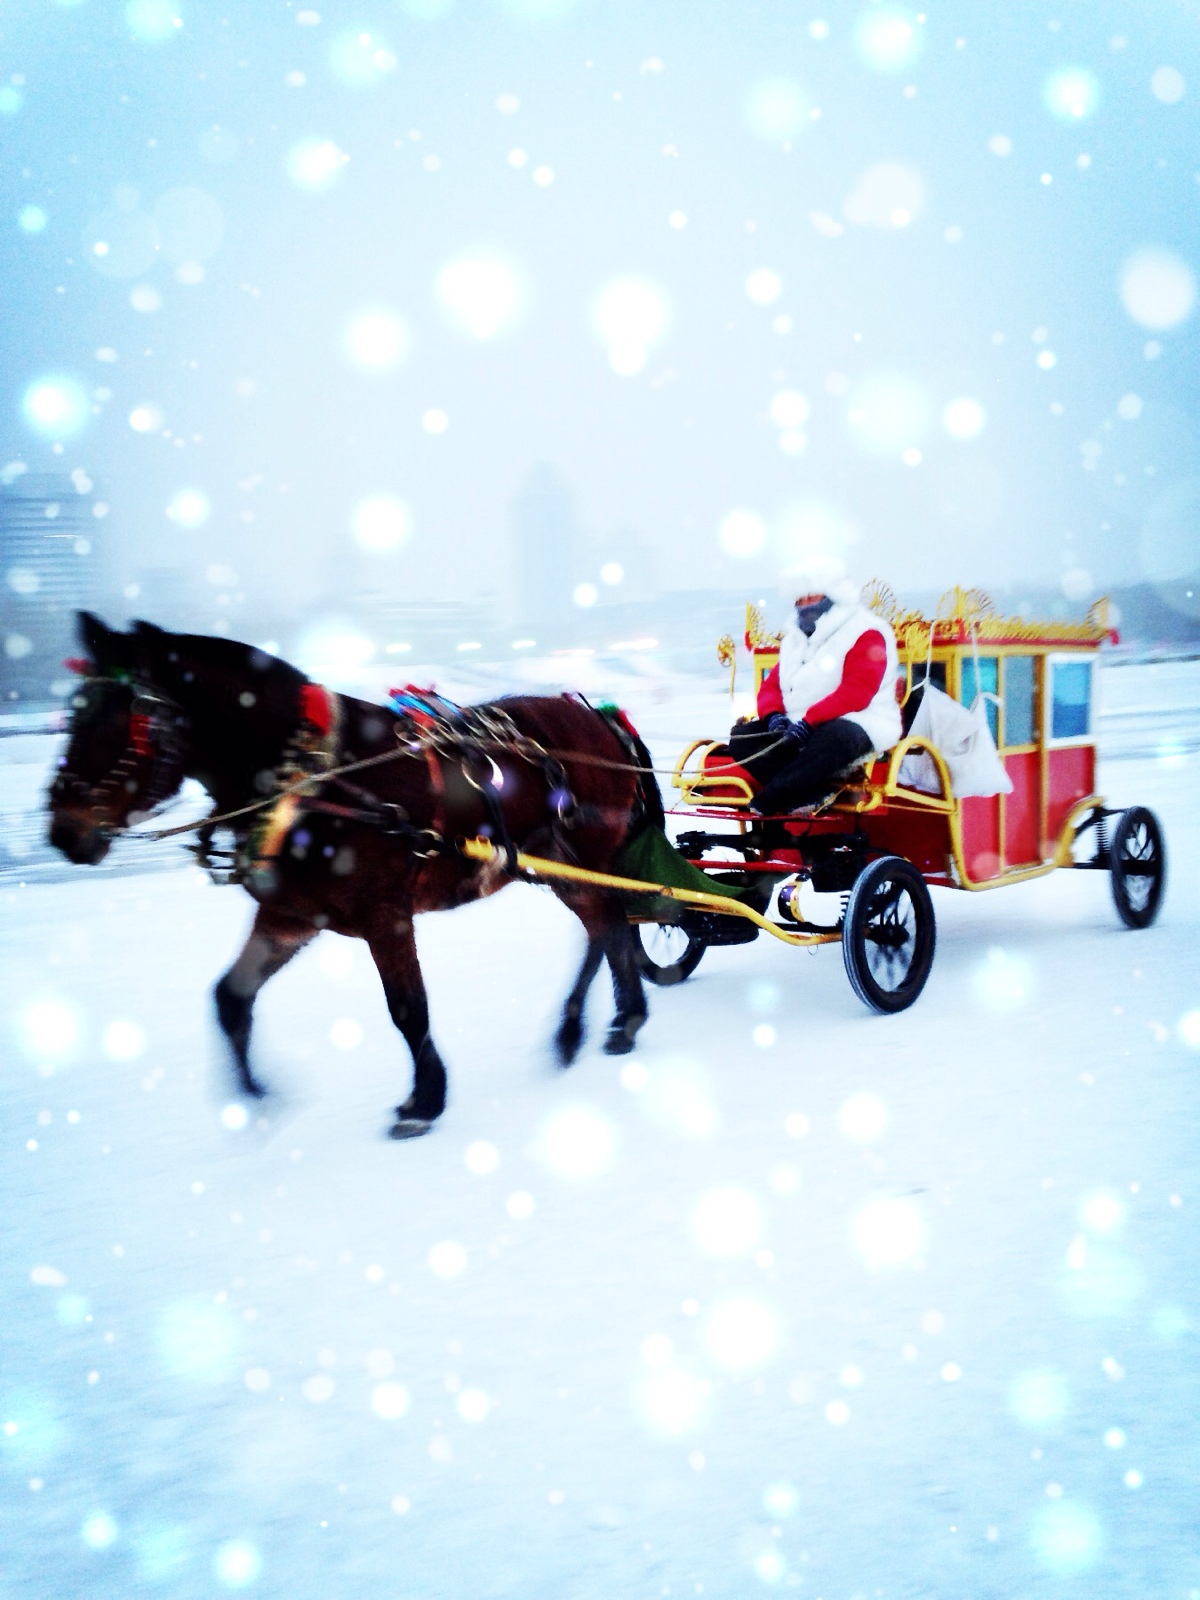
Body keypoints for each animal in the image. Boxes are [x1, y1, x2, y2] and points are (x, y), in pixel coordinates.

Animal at [49, 611, 659, 1139]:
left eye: (117, 718)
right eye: (73, 713)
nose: (62, 829)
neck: (314, 778)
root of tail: (599, 715)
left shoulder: (385, 917)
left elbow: (408, 1010)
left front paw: (424, 1100)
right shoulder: (290, 914)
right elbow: (230, 997)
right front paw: (254, 1100)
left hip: (583, 857)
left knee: (606, 926)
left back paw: (600, 1024)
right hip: (560, 864)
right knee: (604, 927)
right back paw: (605, 1023)